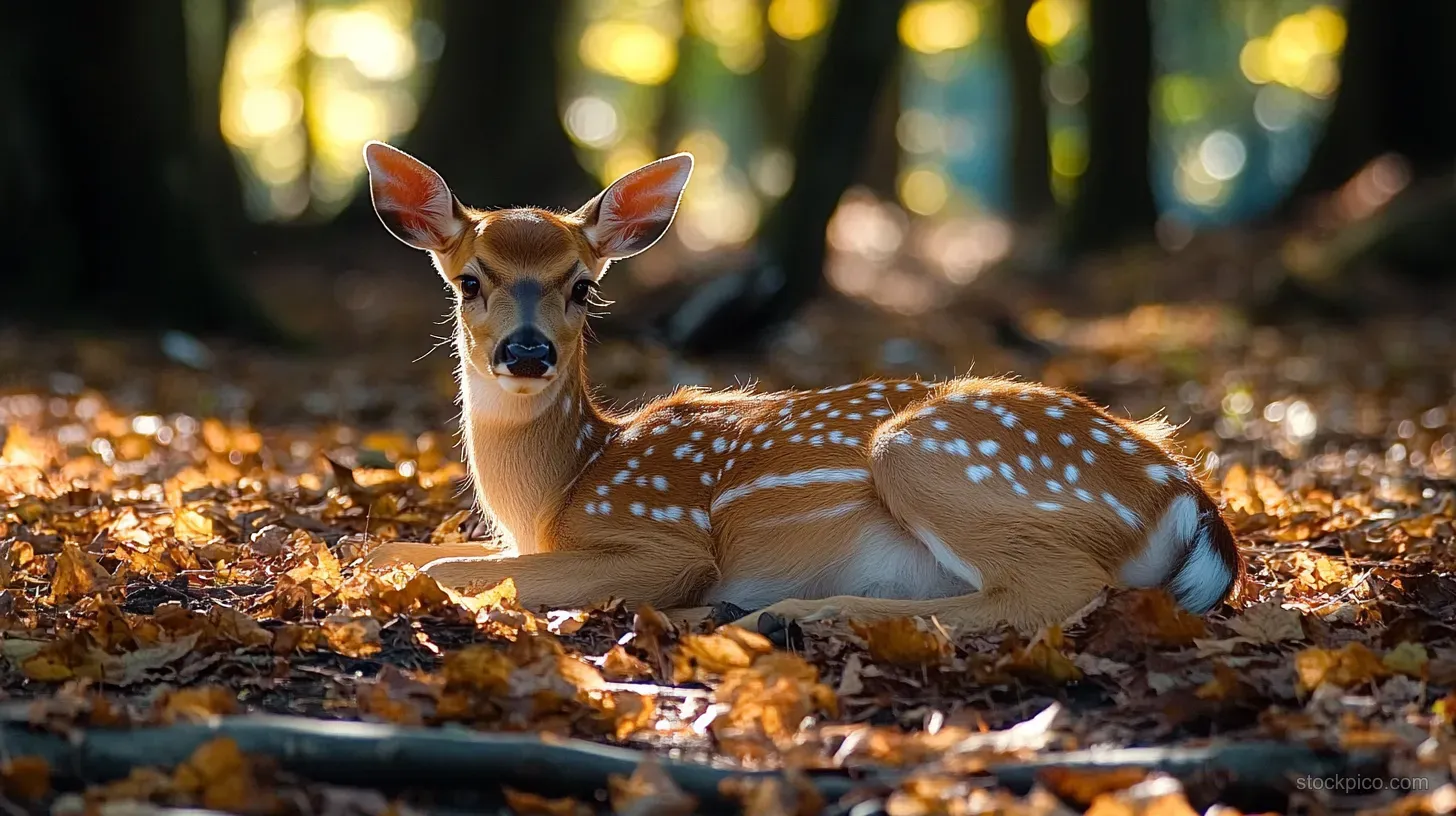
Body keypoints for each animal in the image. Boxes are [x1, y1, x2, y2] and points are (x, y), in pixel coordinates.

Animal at [357, 140, 1245, 636]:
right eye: (469, 280)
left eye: (582, 285)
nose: (528, 351)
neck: (556, 494)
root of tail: (1184, 495)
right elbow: (392, 549)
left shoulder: (660, 540)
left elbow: (444, 570)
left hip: (937, 454)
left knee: (1055, 590)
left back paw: (788, 612)